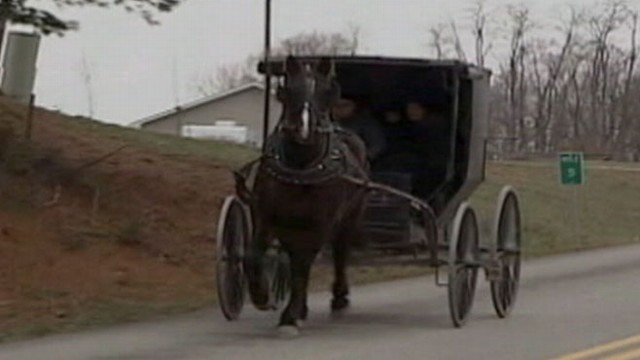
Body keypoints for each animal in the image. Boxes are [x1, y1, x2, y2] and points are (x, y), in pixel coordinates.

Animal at [246, 55, 370, 334]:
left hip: (348, 218)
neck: (300, 168)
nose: (304, 130)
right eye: (289, 90)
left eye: (325, 92)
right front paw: (261, 296)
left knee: (339, 253)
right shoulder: (267, 218)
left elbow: (302, 267)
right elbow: (255, 254)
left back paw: (338, 297)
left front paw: (290, 317)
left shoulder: (318, 224)